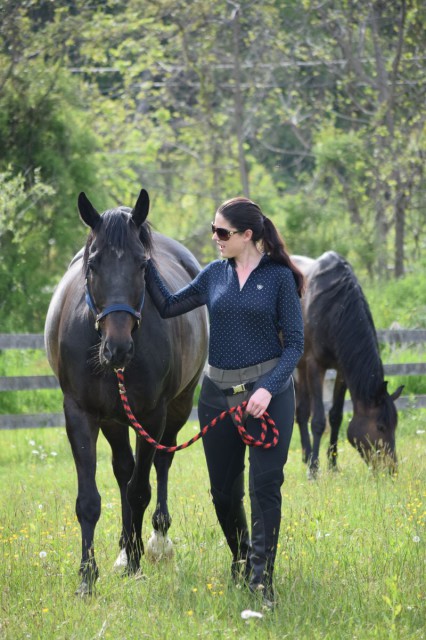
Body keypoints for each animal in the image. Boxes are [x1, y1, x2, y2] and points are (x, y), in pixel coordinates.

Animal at [44, 189, 208, 596]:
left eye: (142, 266)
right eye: (93, 264)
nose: (117, 348)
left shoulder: (152, 415)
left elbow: (140, 491)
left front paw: (135, 563)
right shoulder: (81, 413)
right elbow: (90, 499)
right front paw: (87, 578)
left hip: (177, 408)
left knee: (160, 465)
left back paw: (156, 541)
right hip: (114, 420)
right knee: (123, 469)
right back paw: (122, 548)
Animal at [292, 252, 402, 478]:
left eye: (395, 425)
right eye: (380, 427)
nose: (391, 470)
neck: (334, 308)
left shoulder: (342, 371)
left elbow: (336, 416)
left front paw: (333, 465)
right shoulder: (315, 366)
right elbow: (318, 421)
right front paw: (314, 470)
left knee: (302, 410)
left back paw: (306, 455)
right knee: (303, 411)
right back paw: (308, 459)